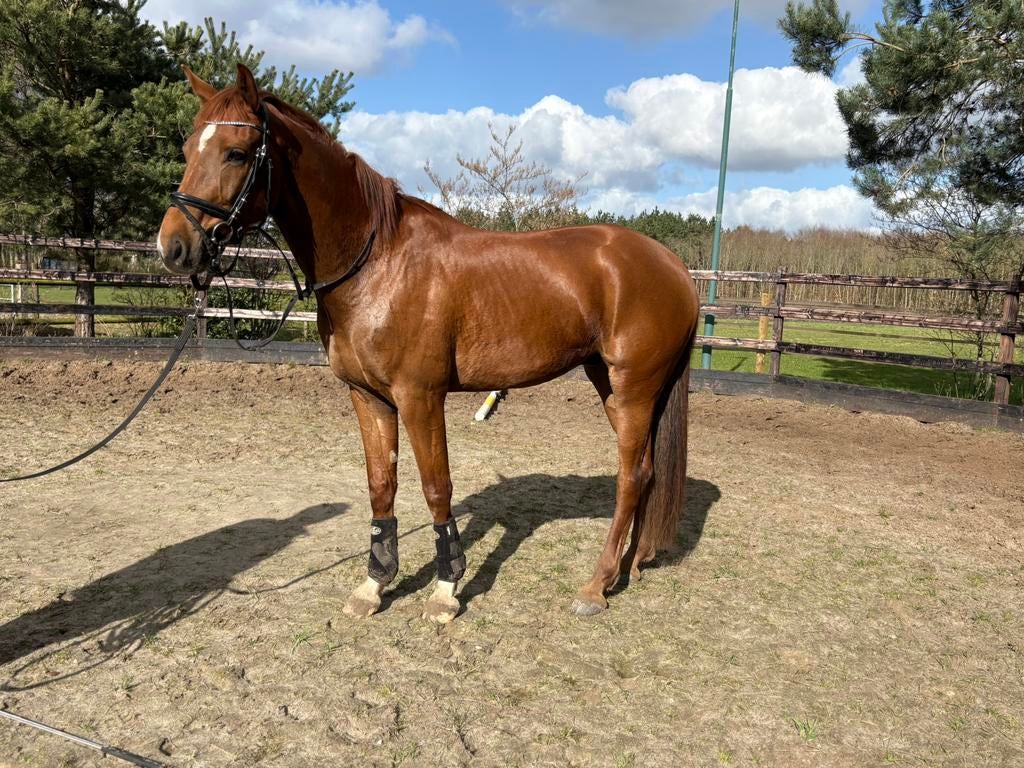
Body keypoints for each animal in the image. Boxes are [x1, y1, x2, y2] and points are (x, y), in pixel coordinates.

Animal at [157, 64, 700, 624]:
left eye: (237, 152)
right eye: (188, 148)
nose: (173, 246)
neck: (377, 262)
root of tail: (672, 265)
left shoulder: (420, 397)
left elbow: (437, 488)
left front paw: (445, 589)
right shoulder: (368, 397)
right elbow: (381, 486)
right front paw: (374, 585)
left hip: (634, 389)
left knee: (630, 476)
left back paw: (595, 584)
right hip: (612, 384)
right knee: (647, 472)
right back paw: (629, 567)